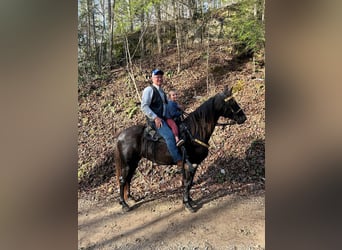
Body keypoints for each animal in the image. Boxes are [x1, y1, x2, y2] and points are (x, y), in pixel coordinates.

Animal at [114, 87, 246, 212]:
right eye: (232, 102)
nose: (243, 118)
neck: (193, 131)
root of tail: (120, 136)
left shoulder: (194, 164)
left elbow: (190, 183)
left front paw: (190, 200)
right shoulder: (190, 164)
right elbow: (187, 183)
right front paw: (187, 203)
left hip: (133, 162)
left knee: (128, 178)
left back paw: (130, 198)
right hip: (127, 163)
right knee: (122, 180)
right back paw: (124, 204)